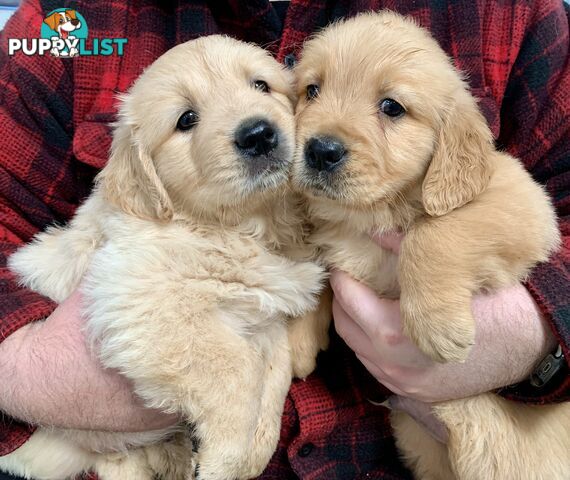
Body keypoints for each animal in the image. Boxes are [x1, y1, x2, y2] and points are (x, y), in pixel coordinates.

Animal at [2, 36, 324, 480]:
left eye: (261, 85)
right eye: (186, 119)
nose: (259, 134)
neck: (238, 227)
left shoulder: (266, 317)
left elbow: (273, 375)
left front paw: (254, 452)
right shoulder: (143, 302)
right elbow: (238, 369)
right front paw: (223, 460)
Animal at [292, 10, 568, 480]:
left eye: (392, 107)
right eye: (312, 90)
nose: (319, 150)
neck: (370, 214)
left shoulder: (522, 202)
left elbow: (433, 233)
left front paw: (438, 324)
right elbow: (315, 269)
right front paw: (296, 342)